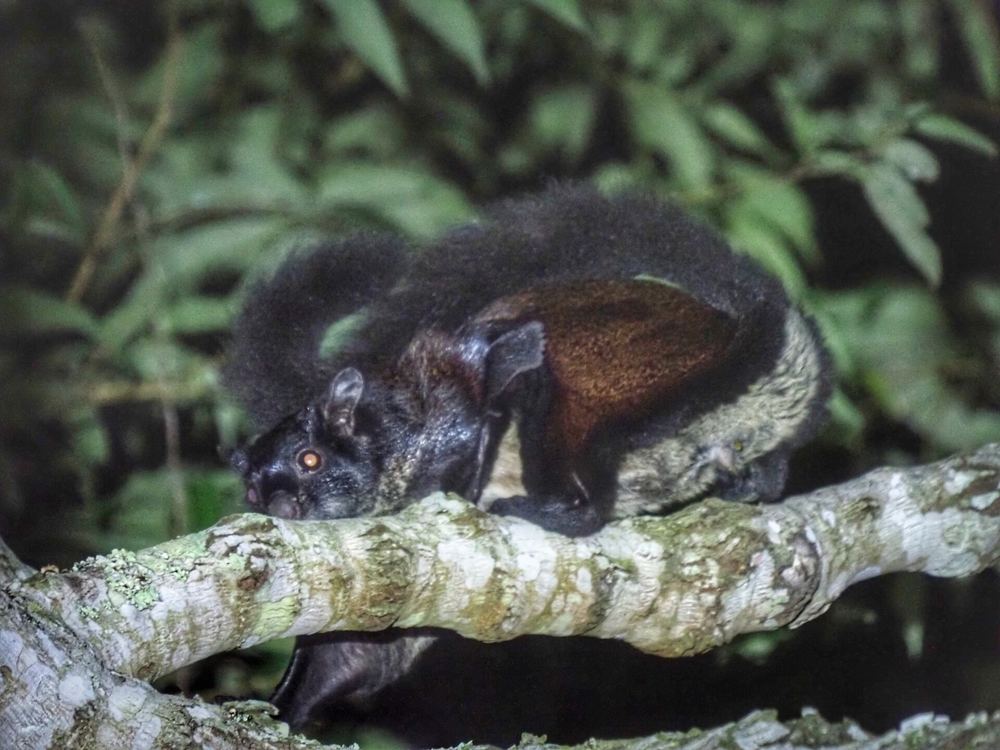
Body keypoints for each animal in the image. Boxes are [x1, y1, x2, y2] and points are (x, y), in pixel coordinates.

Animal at [223, 183, 832, 728]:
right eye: (253, 488)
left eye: (310, 461)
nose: (280, 504)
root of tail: (733, 332)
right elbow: (351, 656)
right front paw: (268, 714)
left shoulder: (447, 403)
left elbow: (498, 382)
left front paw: (461, 491)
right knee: (763, 473)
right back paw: (751, 482)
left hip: (625, 376)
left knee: (569, 433)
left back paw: (551, 507)